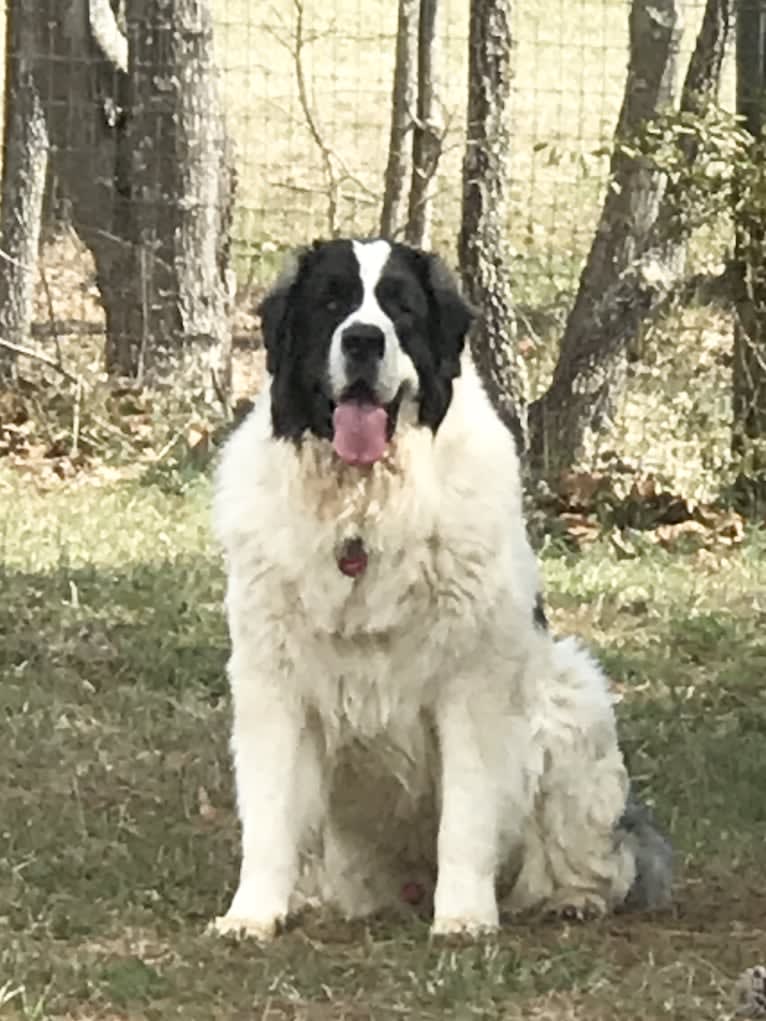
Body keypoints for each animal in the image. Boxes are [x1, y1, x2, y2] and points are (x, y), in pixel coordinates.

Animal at [211, 234, 669, 935]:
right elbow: (267, 815)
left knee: (598, 850)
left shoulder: (470, 684)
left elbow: (467, 817)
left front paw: (463, 918)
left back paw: (571, 898)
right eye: (331, 302)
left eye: (401, 307)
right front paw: (252, 915)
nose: (363, 340)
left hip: (573, 694)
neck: (362, 510)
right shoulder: (272, 682)